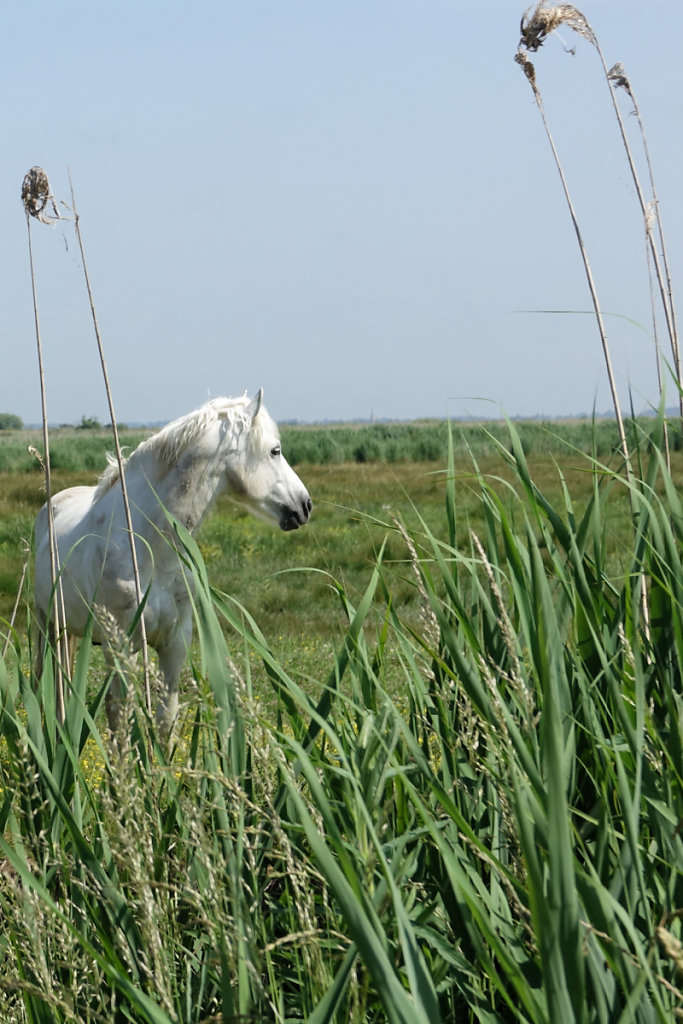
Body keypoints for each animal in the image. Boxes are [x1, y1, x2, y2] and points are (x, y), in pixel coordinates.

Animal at [34, 389, 312, 734]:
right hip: (48, 627)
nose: (305, 505)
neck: (150, 549)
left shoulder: (175, 643)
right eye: (275, 451)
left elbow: (166, 718)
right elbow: (120, 718)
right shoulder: (120, 645)